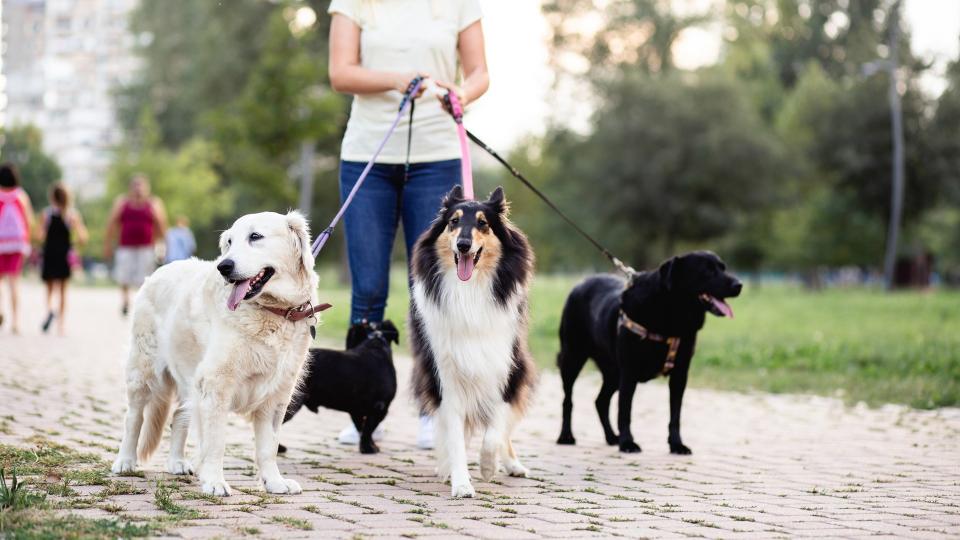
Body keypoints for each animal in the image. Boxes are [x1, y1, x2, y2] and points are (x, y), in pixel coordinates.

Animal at [556, 251, 744, 454]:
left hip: (613, 373)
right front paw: (627, 443)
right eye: (707, 271)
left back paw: (611, 437)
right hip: (573, 358)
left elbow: (675, 415)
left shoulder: (680, 374)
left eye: (723, 268)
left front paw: (677, 444)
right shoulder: (629, 372)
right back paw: (566, 436)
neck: (672, 315)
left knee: (601, 401)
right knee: (568, 400)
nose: (739, 285)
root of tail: (581, 283)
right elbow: (625, 411)